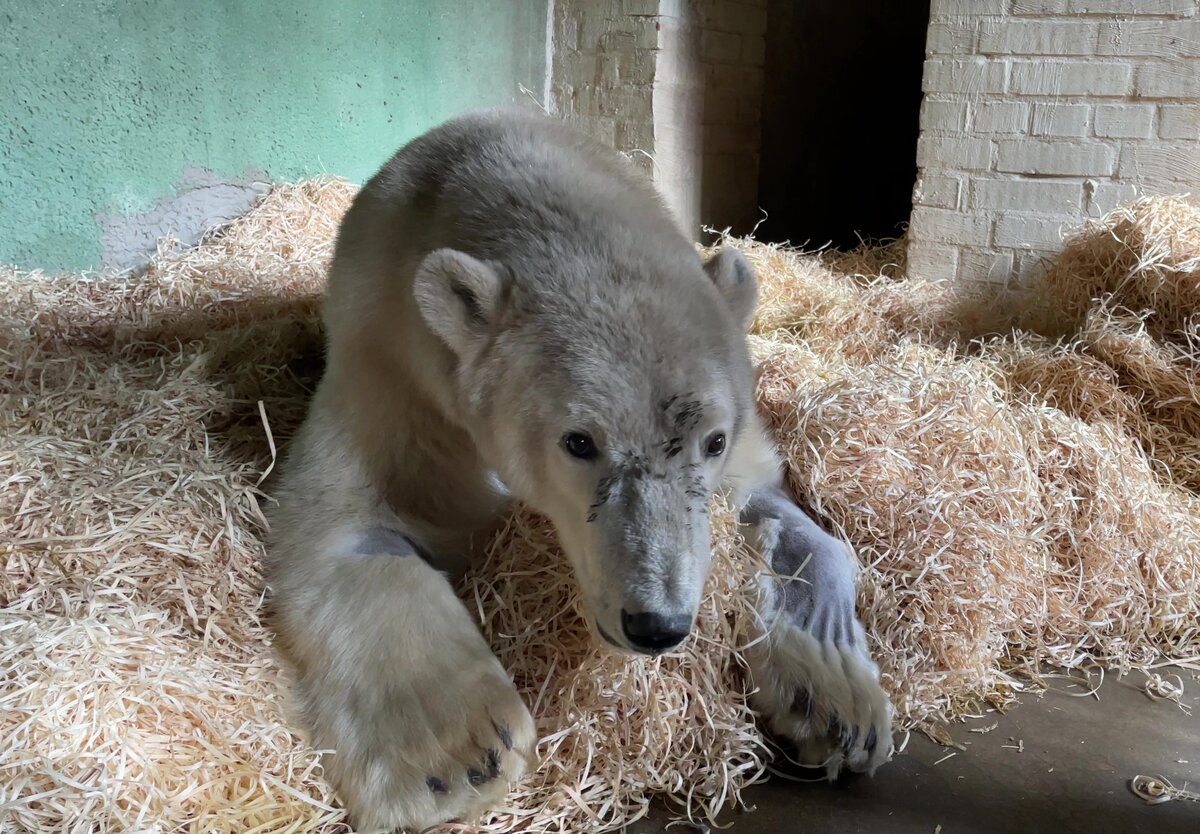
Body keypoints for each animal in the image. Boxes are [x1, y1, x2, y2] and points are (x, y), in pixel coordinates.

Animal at [267, 111, 897, 834]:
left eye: (711, 440)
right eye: (579, 441)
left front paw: (838, 703)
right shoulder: (397, 368)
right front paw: (456, 757)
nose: (657, 625)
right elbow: (352, 521)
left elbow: (778, 509)